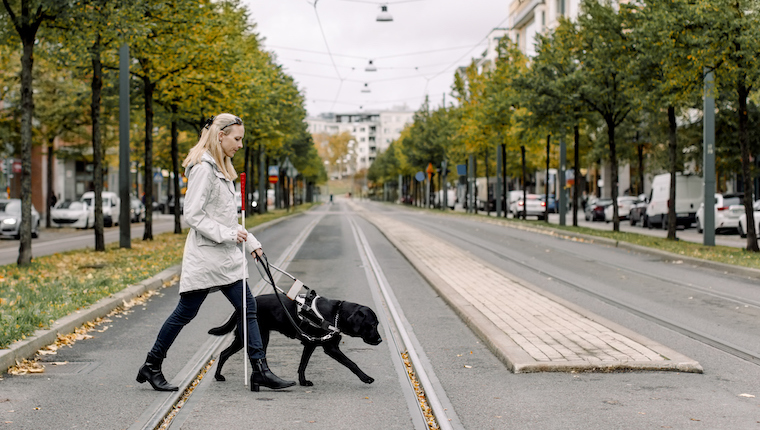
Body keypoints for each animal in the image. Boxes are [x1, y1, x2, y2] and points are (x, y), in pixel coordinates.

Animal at [208, 292, 382, 386]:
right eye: (373, 325)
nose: (380, 340)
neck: (336, 314)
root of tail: (241, 308)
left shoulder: (310, 344)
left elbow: (303, 365)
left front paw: (303, 382)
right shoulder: (331, 348)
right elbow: (351, 363)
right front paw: (366, 378)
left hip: (248, 338)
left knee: (225, 353)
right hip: (254, 338)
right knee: (231, 354)